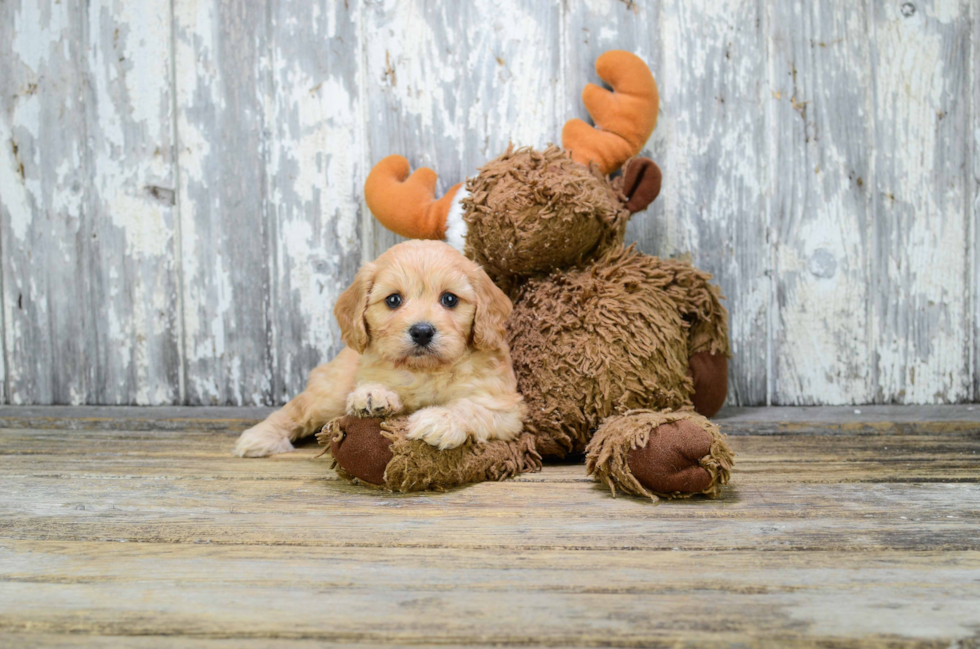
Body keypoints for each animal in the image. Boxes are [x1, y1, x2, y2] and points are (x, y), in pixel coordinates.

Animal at [233, 240, 524, 458]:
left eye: (450, 299)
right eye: (393, 300)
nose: (422, 331)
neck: (425, 370)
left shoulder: (504, 408)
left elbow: (470, 407)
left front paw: (439, 419)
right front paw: (372, 395)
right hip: (330, 394)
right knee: (297, 408)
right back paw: (259, 436)